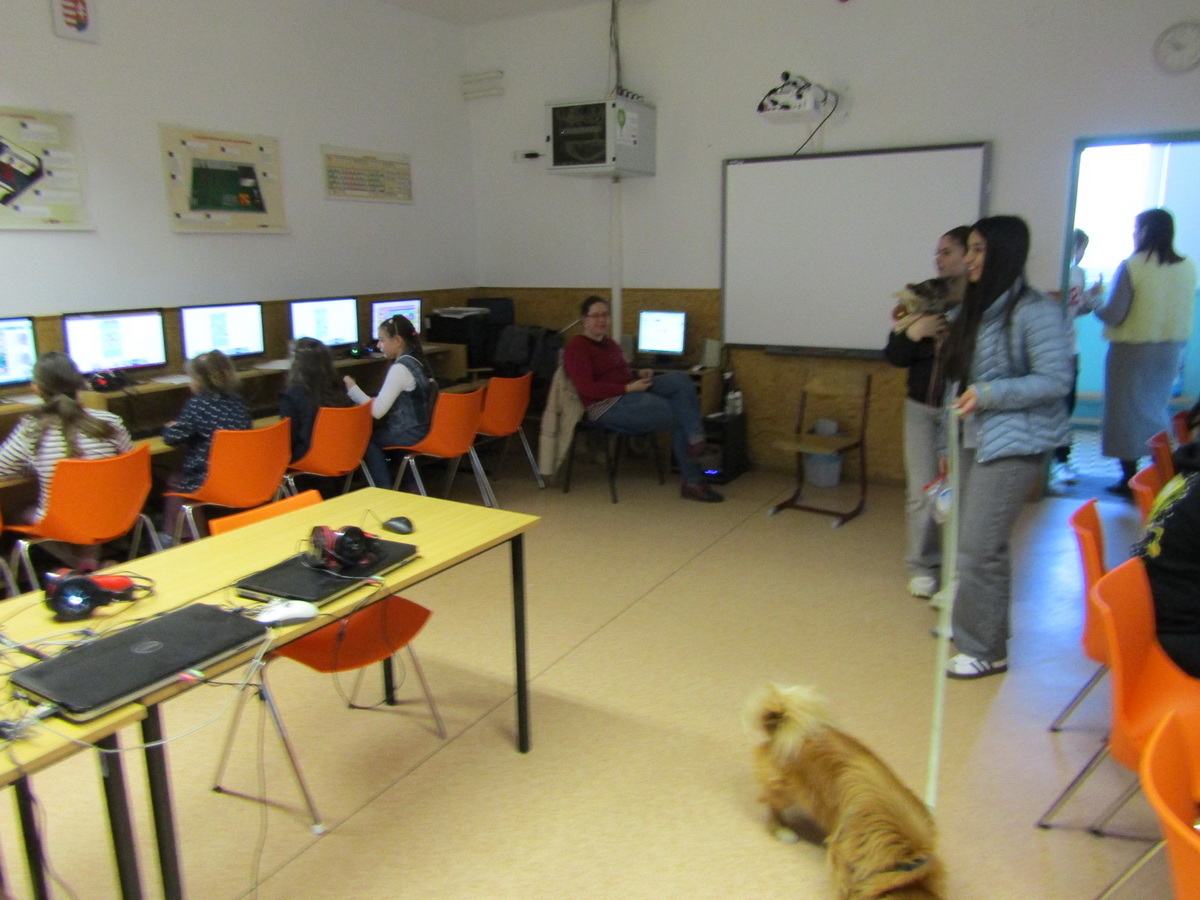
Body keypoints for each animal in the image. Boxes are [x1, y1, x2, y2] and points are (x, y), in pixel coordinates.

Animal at [746, 684, 945, 900]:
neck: (906, 861)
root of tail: (781, 724)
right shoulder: (842, 852)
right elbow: (845, 884)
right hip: (785, 792)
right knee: (772, 807)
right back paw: (782, 830)